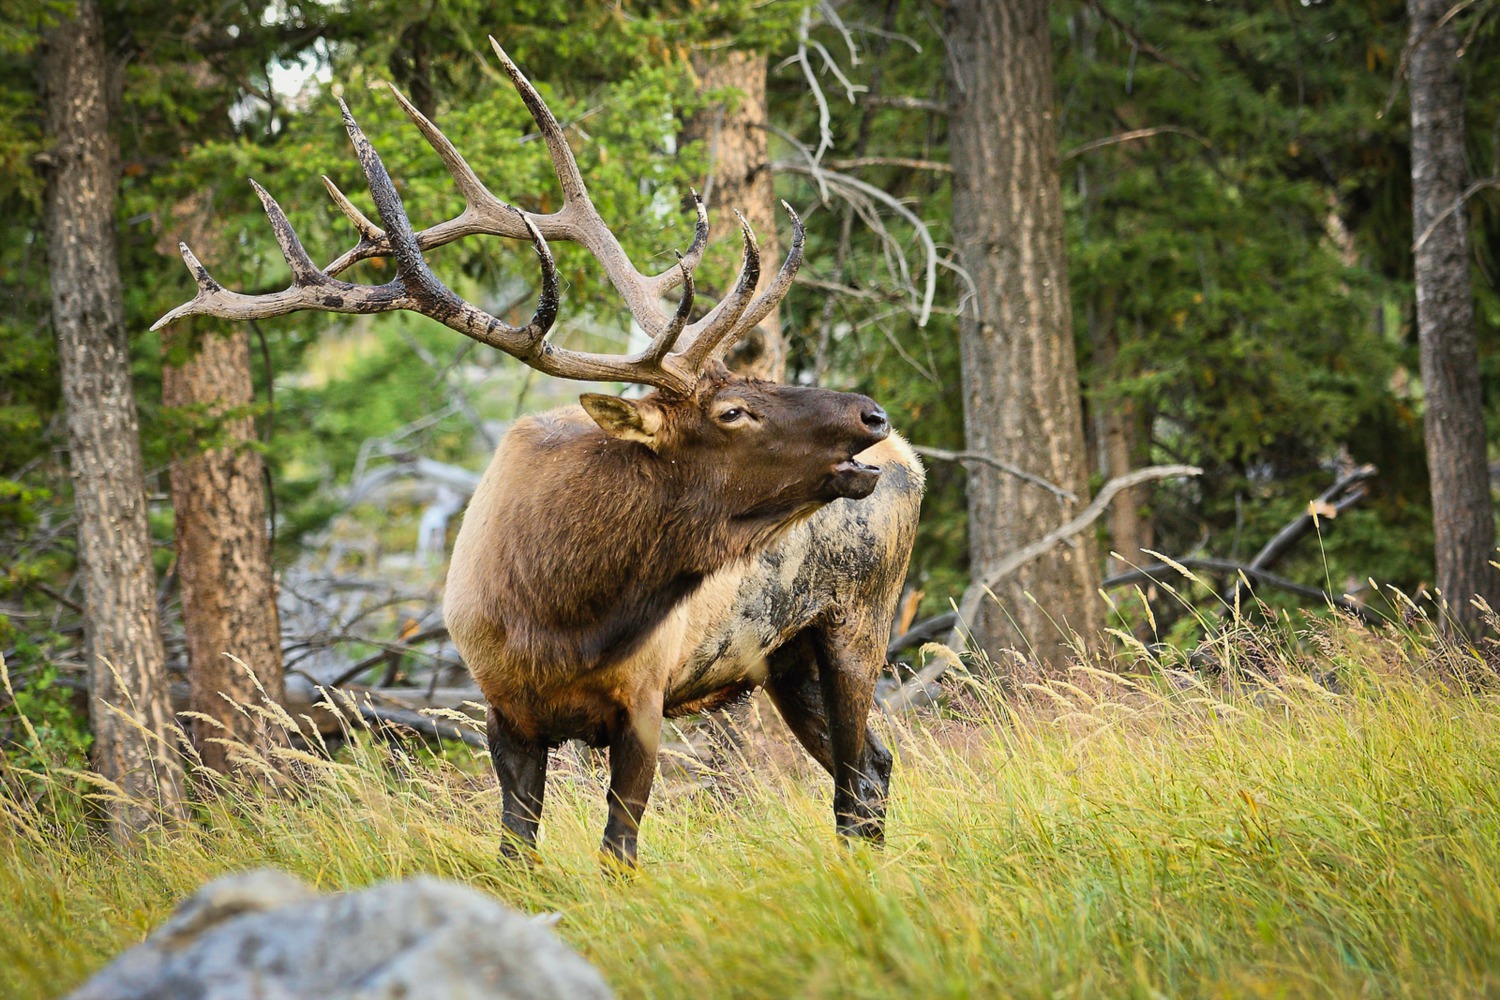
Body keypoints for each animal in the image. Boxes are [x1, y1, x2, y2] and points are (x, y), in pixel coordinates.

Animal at [155, 41, 924, 869]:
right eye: (733, 410)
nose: (870, 413)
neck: (563, 613)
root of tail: (916, 461)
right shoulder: (503, 710)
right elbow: (515, 853)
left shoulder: (645, 701)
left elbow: (618, 851)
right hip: (788, 659)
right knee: (871, 765)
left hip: (857, 623)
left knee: (860, 774)